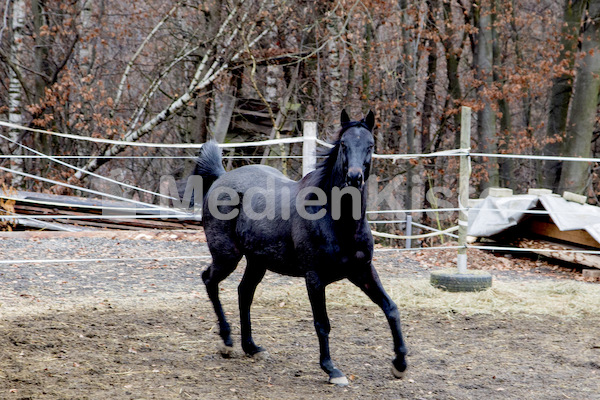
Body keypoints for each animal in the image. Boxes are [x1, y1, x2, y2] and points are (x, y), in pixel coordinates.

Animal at [197, 109, 408, 384]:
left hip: (257, 261)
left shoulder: (362, 271)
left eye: (370, 145)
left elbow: (391, 308)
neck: (338, 222)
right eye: (343, 144)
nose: (354, 177)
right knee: (210, 280)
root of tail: (221, 178)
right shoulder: (314, 278)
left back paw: (252, 347)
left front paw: (400, 364)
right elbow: (322, 323)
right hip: (226, 256)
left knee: (244, 293)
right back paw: (227, 342)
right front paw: (332, 370)